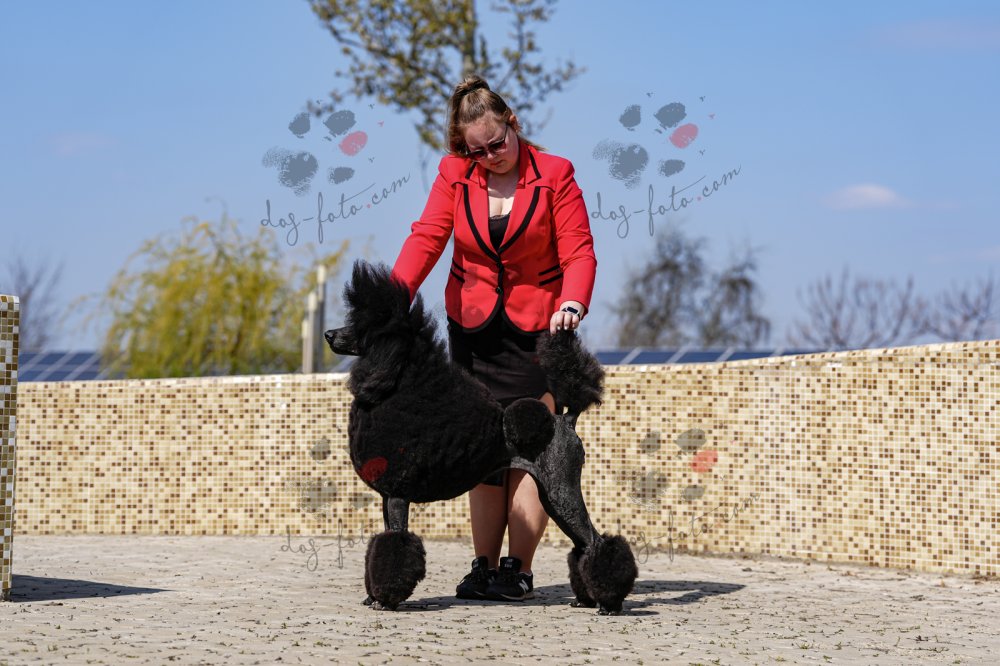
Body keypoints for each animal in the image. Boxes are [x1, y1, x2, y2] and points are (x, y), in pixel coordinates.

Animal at [325, 260, 637, 613]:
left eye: (362, 326)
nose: (329, 335)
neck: (396, 388)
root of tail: (566, 419)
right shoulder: (387, 497)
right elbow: (384, 540)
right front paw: (372, 596)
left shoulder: (397, 494)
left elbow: (395, 544)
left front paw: (385, 600)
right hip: (551, 495)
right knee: (583, 544)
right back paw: (586, 599)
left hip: (561, 488)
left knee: (597, 542)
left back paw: (610, 603)